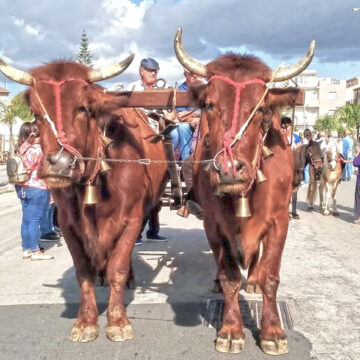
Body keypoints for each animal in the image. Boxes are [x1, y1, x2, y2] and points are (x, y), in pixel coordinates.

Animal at [0, 57, 169, 342]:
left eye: (84, 108)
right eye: (36, 112)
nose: (59, 164)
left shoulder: (132, 219)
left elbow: (117, 269)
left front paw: (117, 320)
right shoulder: (68, 224)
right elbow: (83, 272)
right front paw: (86, 321)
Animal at [175, 27, 316, 354]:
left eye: (261, 108)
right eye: (209, 105)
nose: (228, 168)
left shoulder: (279, 222)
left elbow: (271, 277)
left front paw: (272, 331)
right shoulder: (214, 226)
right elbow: (229, 278)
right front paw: (230, 330)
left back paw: (251, 279)